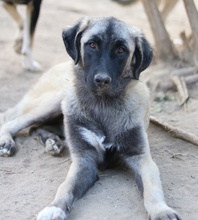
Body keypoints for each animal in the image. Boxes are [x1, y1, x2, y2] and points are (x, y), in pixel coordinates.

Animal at [0, 16, 181, 219]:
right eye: (92, 45)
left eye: (121, 49)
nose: (102, 80)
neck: (103, 104)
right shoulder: (84, 160)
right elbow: (66, 186)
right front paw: (54, 207)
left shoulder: (141, 157)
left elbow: (152, 189)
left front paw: (161, 210)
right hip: (54, 100)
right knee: (14, 122)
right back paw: (7, 141)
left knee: (36, 127)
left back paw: (52, 141)